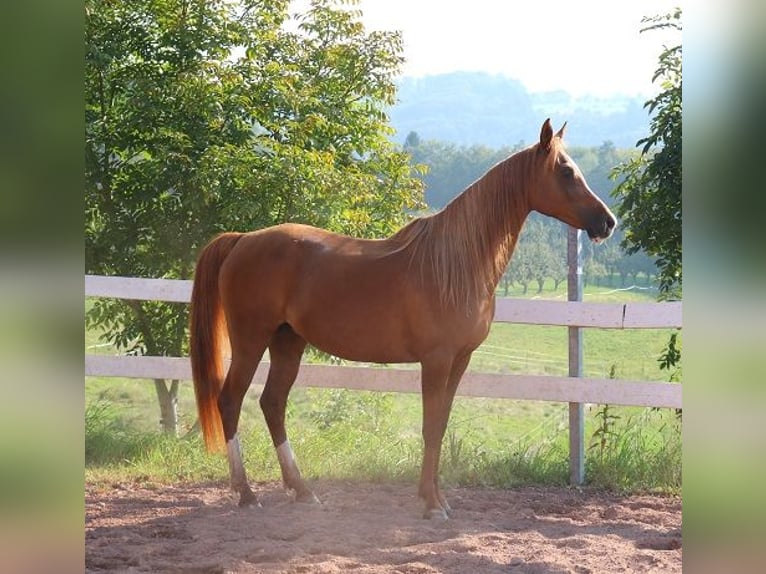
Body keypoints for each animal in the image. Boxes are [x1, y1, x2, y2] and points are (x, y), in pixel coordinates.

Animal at [189, 119, 616, 520]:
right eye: (565, 171)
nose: (607, 222)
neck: (456, 264)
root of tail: (242, 239)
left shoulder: (460, 360)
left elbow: (440, 425)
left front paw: (437, 498)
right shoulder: (436, 360)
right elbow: (430, 426)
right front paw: (431, 504)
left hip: (288, 342)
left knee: (273, 404)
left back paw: (302, 490)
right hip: (251, 341)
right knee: (230, 401)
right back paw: (246, 493)